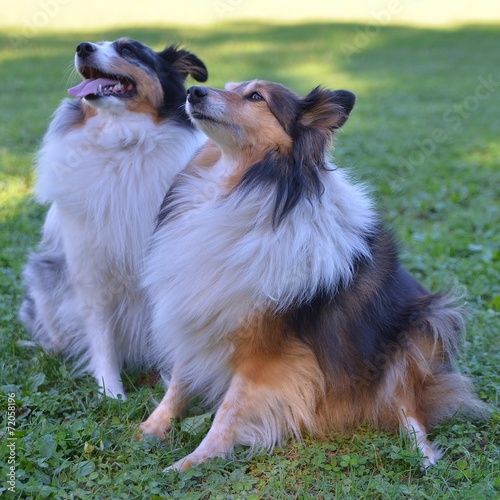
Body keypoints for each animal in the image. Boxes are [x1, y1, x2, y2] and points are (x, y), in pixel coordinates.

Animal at [19, 38, 207, 398]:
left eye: (128, 50)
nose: (82, 47)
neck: (123, 145)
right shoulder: (91, 272)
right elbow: (102, 336)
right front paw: (111, 392)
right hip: (44, 280)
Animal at [139, 79, 486, 468]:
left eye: (256, 97)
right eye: (228, 87)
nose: (194, 92)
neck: (243, 188)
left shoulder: (265, 349)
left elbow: (230, 409)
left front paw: (194, 461)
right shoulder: (197, 308)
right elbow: (179, 380)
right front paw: (152, 428)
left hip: (427, 324)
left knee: (409, 408)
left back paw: (423, 454)